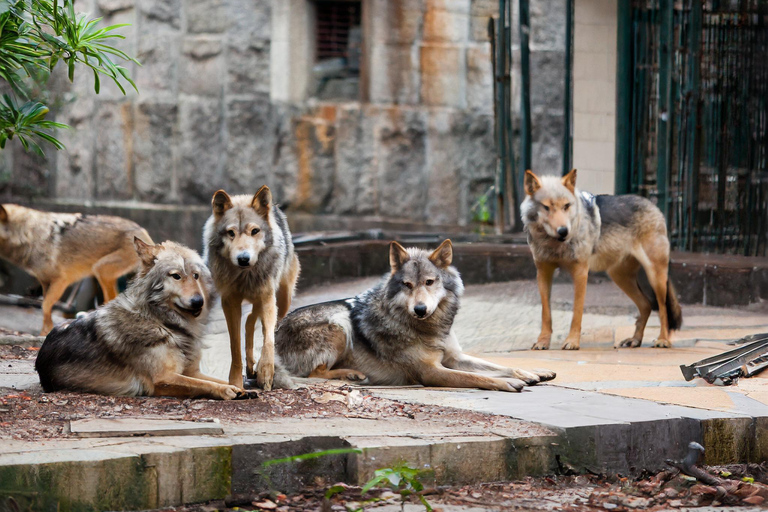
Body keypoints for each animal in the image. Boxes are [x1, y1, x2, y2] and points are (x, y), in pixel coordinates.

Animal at [0, 204, 153, 336]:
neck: (27, 234)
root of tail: (143, 231)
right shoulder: (45, 282)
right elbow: (45, 308)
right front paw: (46, 330)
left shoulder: (62, 280)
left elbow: (45, 305)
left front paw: (44, 333)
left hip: (100, 269)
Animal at [204, 186, 300, 390]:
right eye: (231, 233)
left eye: (254, 231)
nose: (243, 258)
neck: (245, 275)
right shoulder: (230, 303)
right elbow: (235, 345)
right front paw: (236, 382)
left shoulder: (268, 298)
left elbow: (268, 339)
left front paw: (266, 372)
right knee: (249, 321)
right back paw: (249, 367)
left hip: (281, 301)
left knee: (259, 323)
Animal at [276, 240, 560, 392]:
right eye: (407, 285)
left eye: (429, 282)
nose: (420, 309)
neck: (432, 328)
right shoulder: (431, 372)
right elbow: (479, 377)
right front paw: (509, 383)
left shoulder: (454, 357)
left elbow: (499, 366)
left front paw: (532, 372)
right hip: (339, 323)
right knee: (313, 373)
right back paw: (351, 374)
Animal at [520, 170, 680, 350]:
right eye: (547, 207)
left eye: (566, 206)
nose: (563, 231)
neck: (554, 243)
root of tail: (652, 204)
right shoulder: (543, 273)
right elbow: (546, 313)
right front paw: (542, 342)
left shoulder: (581, 272)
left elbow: (576, 313)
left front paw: (572, 342)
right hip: (620, 278)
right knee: (646, 305)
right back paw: (635, 340)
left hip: (655, 277)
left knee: (662, 308)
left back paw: (663, 340)